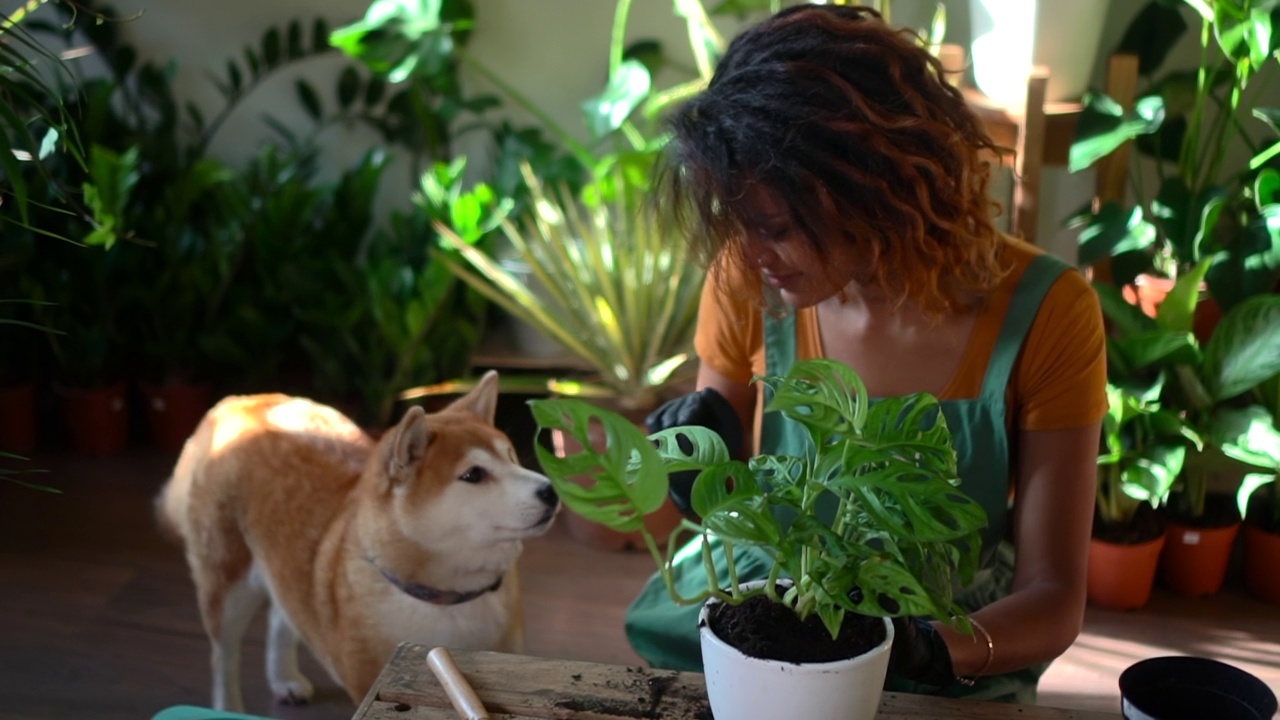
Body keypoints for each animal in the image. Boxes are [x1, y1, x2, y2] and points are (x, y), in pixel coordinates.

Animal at [153, 368, 555, 707]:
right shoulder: (367, 681)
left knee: (284, 614)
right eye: (473, 475)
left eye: (511, 456)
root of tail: (242, 402)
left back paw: (284, 678)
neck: (449, 599)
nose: (550, 491)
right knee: (224, 656)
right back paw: (229, 704)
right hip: (227, 584)